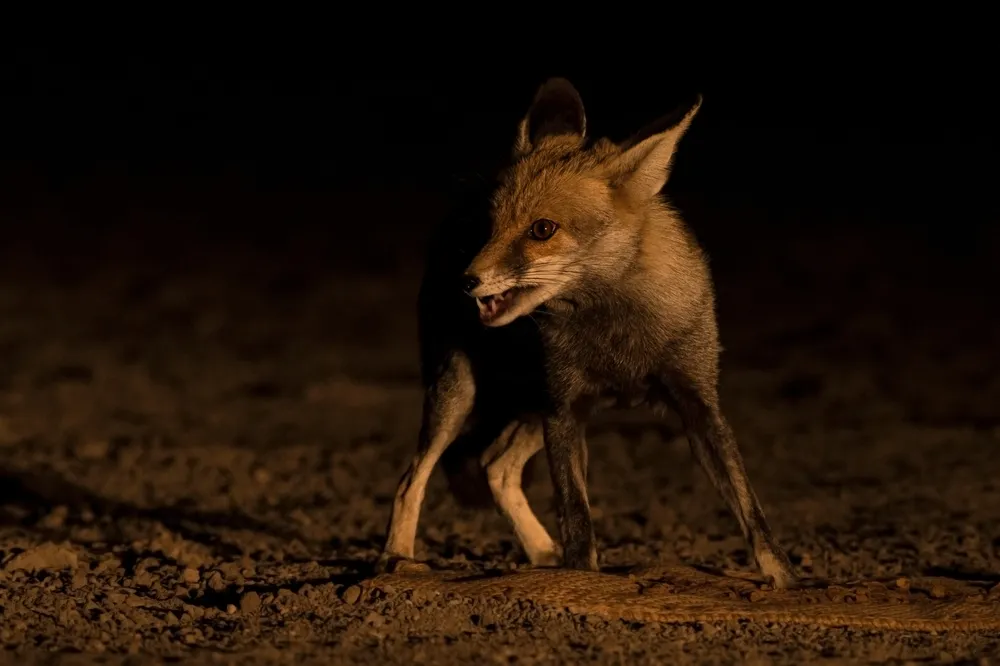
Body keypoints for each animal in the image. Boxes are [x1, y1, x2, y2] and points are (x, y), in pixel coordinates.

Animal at [376, 78, 797, 589]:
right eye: (491, 227)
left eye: (542, 229)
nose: (466, 281)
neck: (619, 334)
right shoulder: (565, 408)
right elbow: (576, 516)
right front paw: (581, 580)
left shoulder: (697, 400)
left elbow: (749, 506)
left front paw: (785, 581)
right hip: (458, 395)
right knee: (412, 478)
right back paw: (396, 559)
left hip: (527, 407)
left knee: (495, 464)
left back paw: (540, 552)